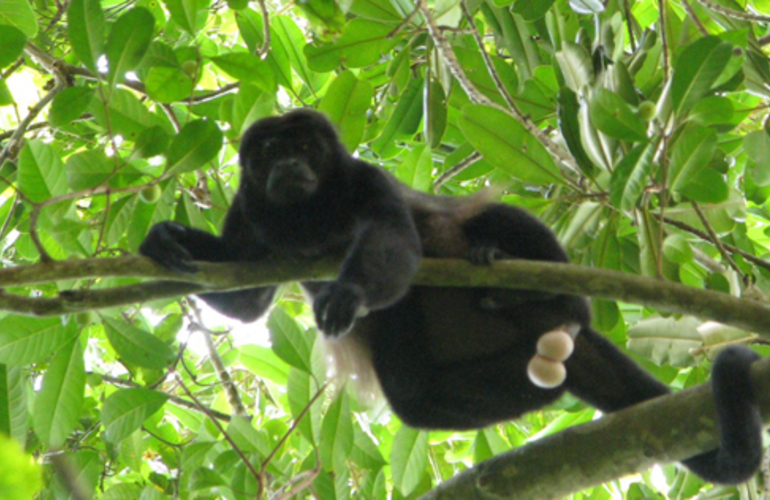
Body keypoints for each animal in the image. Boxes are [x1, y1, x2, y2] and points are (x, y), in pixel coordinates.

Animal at [140, 109, 762, 484]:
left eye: (304, 147)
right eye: (268, 152)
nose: (289, 163)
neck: (309, 212)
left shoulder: (366, 180)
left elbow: (396, 240)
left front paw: (350, 290)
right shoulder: (249, 206)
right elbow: (247, 294)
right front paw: (165, 240)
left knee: (492, 218)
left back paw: (536, 288)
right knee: (415, 395)